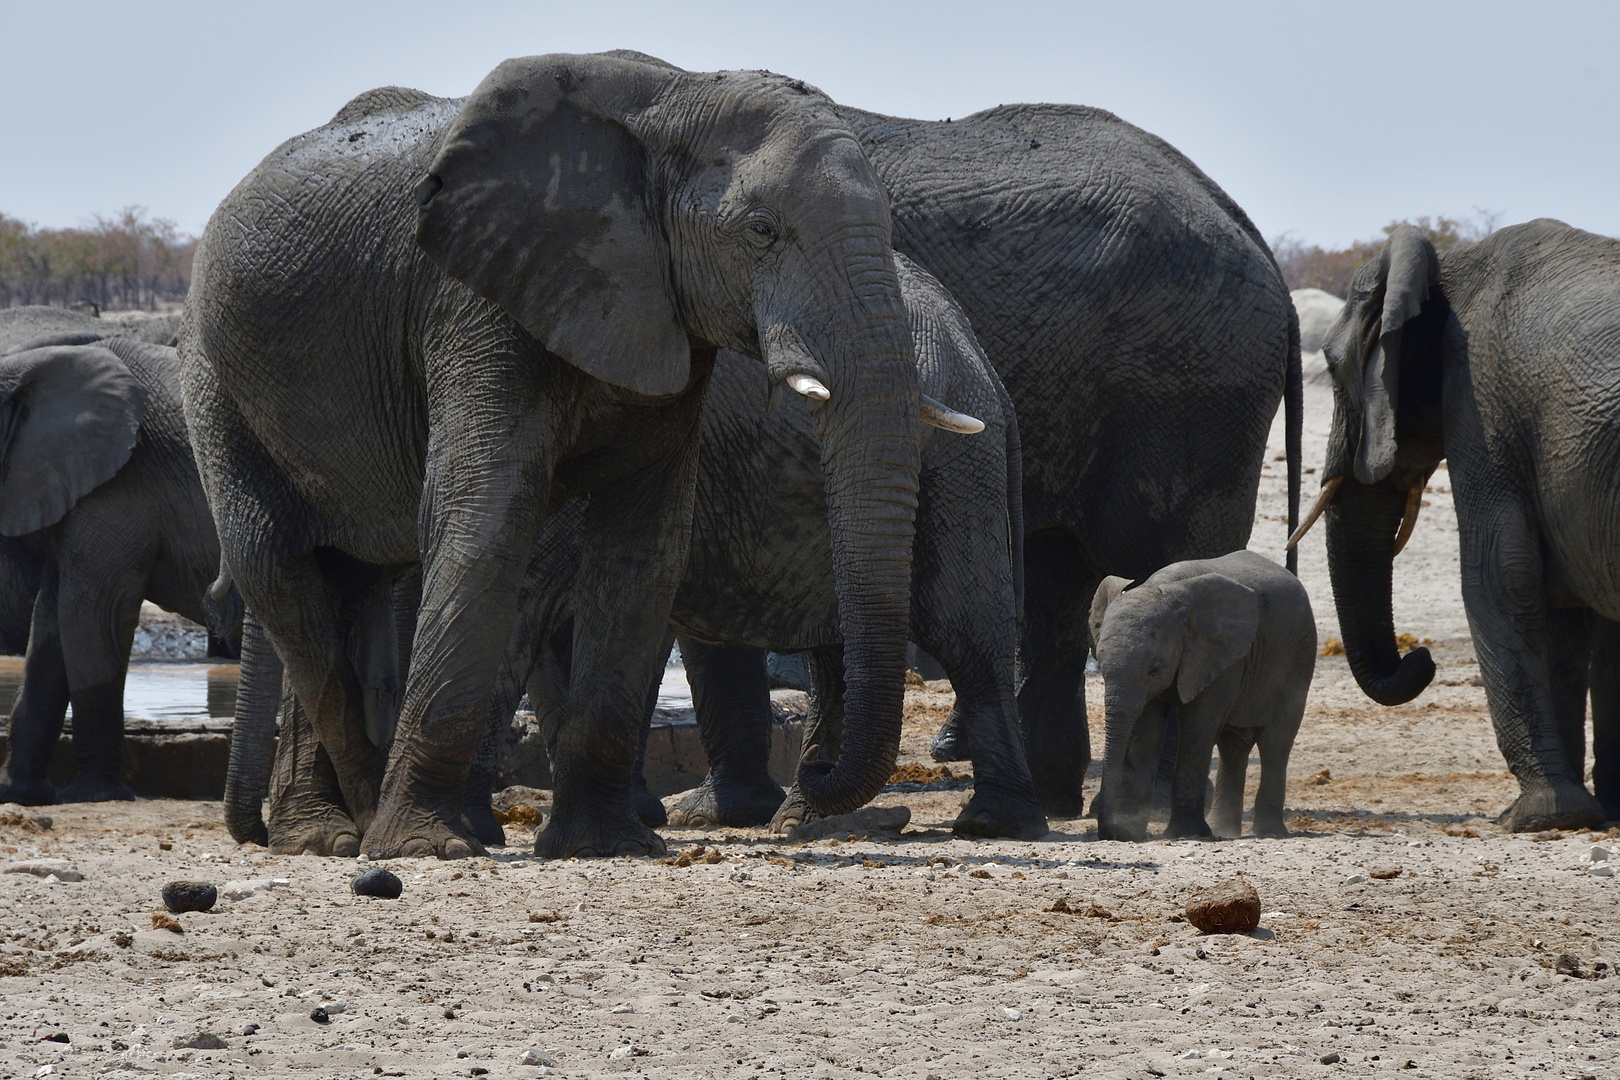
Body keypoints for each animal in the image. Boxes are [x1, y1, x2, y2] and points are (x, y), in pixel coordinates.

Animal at [186, 52, 972, 861]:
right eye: (761, 230)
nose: (811, 785)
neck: (675, 97)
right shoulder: (476, 301)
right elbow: (484, 520)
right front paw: (426, 850)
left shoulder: (660, 314)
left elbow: (644, 547)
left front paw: (606, 844)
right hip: (216, 380)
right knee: (278, 569)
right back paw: (348, 832)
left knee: (343, 580)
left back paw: (329, 832)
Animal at [835, 101, 1302, 816]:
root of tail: (1254, 237)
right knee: (1058, 576)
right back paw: (1053, 795)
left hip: (1188, 383)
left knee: (1164, 559)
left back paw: (1150, 802)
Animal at [1088, 553, 1315, 841]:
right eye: (1100, 663)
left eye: (1154, 669)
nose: (1111, 831)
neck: (1162, 588)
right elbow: (1146, 730)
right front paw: (1132, 830)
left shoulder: (1220, 657)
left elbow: (1199, 725)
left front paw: (1186, 833)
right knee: (1233, 745)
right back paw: (1223, 830)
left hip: (1299, 657)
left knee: (1275, 742)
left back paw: (1269, 833)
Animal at [1289, 216, 1620, 829]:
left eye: (1332, 367)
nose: (1421, 657)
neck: (1451, 271)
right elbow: (1572, 609)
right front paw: (1589, 813)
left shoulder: (1482, 402)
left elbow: (1501, 573)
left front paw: (1538, 815)